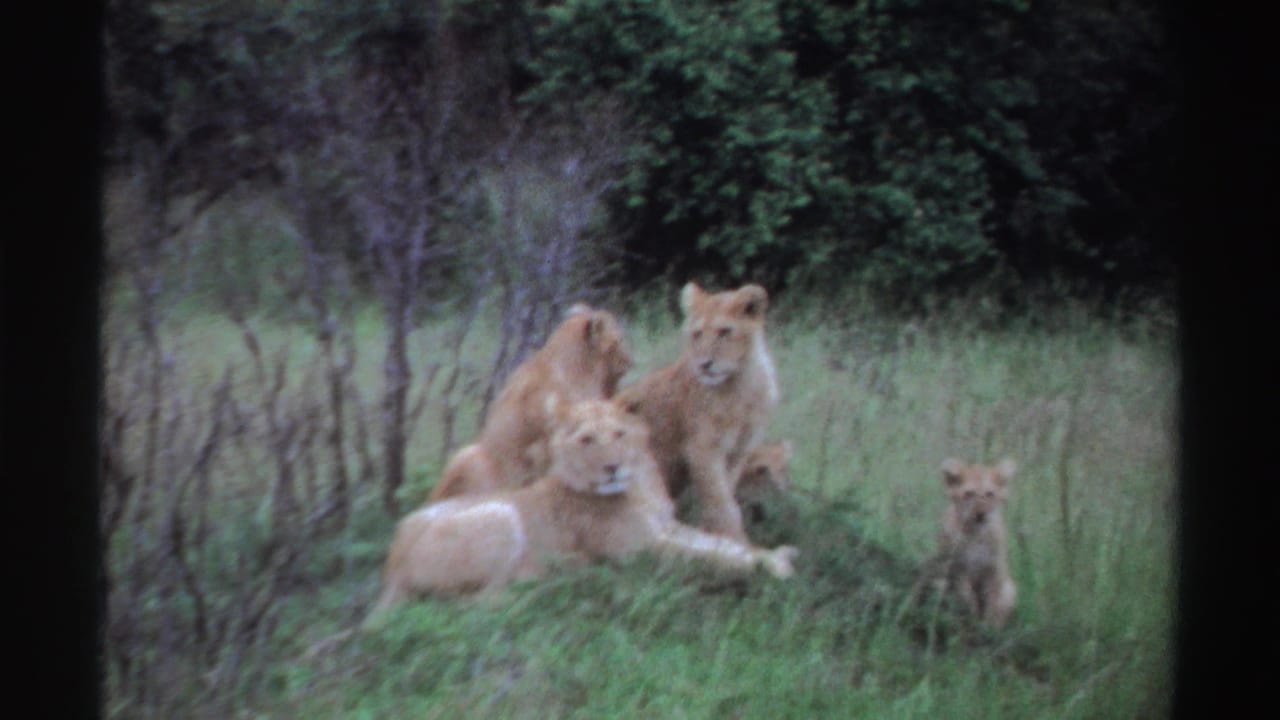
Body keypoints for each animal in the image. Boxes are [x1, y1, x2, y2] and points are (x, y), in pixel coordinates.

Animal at [370, 399, 798, 618]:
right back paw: (556, 582)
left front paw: (775, 554)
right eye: (586, 440)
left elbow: (723, 544)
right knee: (472, 602)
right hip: (500, 516)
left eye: (619, 434)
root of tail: (389, 567)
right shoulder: (640, 550)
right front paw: (773, 568)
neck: (639, 488)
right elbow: (711, 558)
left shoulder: (667, 527)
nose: (612, 467)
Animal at [615, 282, 779, 543]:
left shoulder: (738, 451)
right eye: (697, 334)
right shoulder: (702, 449)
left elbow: (723, 494)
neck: (740, 385)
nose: (704, 364)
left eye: (724, 332)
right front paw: (736, 542)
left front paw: (716, 533)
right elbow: (723, 502)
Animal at [936, 457, 1018, 628]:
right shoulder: (959, 570)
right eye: (969, 494)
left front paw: (990, 628)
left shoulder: (993, 571)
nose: (981, 514)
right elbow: (968, 599)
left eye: (990, 494)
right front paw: (972, 621)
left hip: (1010, 587)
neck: (976, 534)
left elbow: (993, 603)